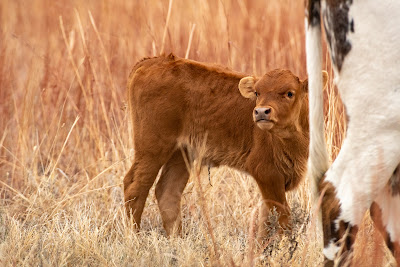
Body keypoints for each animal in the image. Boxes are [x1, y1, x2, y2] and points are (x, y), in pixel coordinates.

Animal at [123, 53, 326, 240]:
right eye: (257, 93)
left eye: (290, 93)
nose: (261, 111)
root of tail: (151, 61)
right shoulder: (266, 172)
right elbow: (282, 217)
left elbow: (266, 219)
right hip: (152, 148)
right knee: (135, 186)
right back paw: (135, 237)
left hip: (181, 154)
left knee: (167, 191)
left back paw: (177, 239)